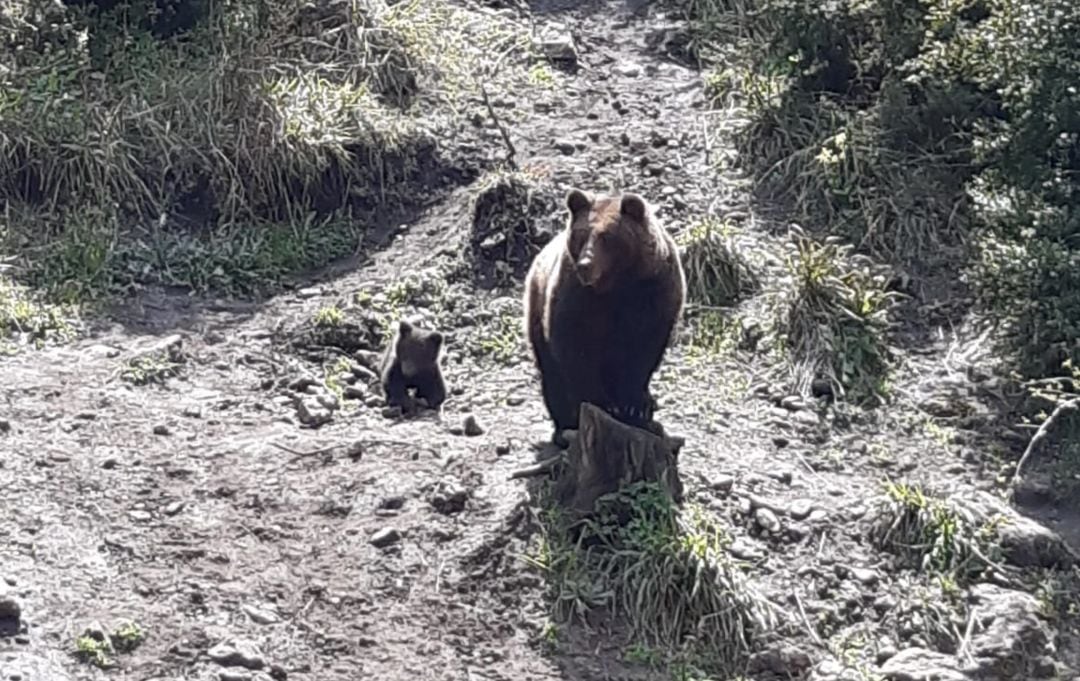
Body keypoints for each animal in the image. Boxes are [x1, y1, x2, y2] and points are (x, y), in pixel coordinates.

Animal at [522, 188, 682, 444]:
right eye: (581, 234)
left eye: (607, 236)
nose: (585, 264)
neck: (615, 285)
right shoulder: (577, 296)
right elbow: (576, 348)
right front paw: (604, 403)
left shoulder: (653, 293)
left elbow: (643, 350)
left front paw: (635, 405)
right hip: (536, 309)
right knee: (551, 373)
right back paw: (564, 426)